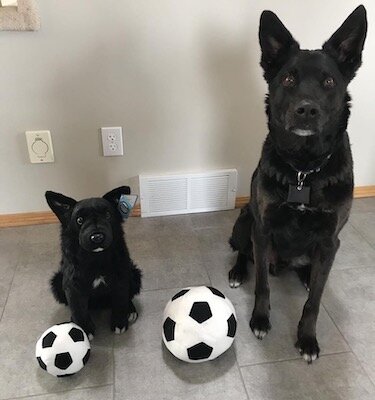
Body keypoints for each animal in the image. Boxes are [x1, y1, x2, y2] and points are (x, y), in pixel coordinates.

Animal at [45, 186, 142, 340]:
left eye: (107, 215)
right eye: (79, 220)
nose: (97, 237)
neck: (96, 259)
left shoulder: (121, 279)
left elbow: (120, 301)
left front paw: (119, 322)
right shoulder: (73, 287)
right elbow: (78, 310)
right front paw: (84, 329)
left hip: (133, 274)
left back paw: (130, 310)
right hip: (57, 282)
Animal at [229, 6, 368, 362]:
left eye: (329, 81)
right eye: (288, 79)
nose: (306, 109)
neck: (304, 171)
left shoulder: (330, 240)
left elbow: (315, 301)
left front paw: (307, 338)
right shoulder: (263, 228)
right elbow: (262, 285)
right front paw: (260, 319)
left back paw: (305, 275)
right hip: (245, 221)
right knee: (244, 253)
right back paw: (238, 272)